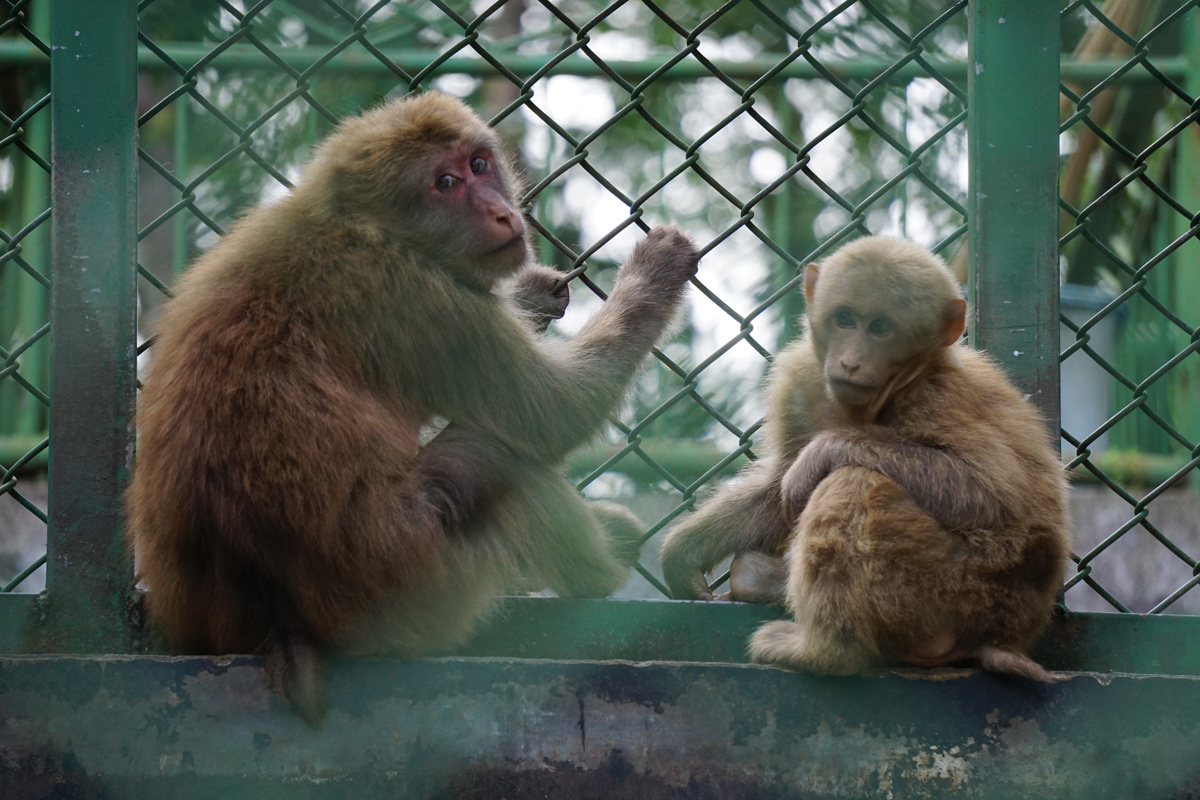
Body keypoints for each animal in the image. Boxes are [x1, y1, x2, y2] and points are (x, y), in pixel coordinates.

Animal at [126, 92, 699, 722]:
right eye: (444, 183)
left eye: (478, 165)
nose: (502, 215)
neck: (356, 224)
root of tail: (275, 626)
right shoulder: (415, 295)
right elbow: (554, 414)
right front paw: (654, 274)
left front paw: (527, 294)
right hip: (411, 584)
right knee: (492, 459)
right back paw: (602, 567)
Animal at [659, 236, 1069, 681]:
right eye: (845, 319)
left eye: (880, 328)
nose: (851, 361)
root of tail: (1004, 636)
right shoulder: (800, 381)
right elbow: (777, 487)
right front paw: (687, 551)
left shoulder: (941, 396)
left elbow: (993, 493)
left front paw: (823, 451)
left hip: (962, 585)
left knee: (854, 480)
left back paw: (826, 650)